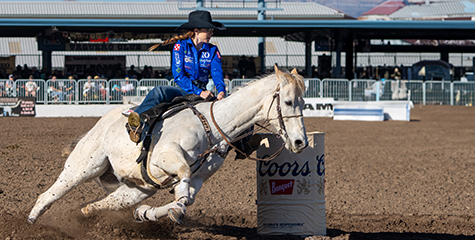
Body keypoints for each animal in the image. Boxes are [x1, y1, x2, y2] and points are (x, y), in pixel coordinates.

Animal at [27, 64, 308, 225]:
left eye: (304, 103)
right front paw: (165, 212)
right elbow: (182, 177)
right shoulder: (165, 158)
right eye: (288, 102)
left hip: (136, 189)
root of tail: (103, 120)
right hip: (83, 167)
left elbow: (186, 198)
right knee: (49, 194)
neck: (210, 128)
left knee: (97, 205)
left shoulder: (198, 179)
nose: (300, 142)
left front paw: (148, 214)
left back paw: (88, 214)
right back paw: (31, 221)